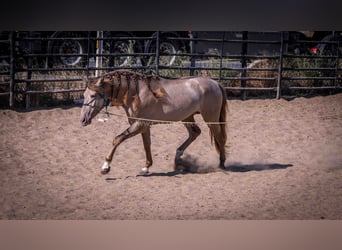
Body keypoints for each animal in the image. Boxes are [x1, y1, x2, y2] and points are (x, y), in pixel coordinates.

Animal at [79, 69, 227, 175]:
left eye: (93, 96)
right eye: (84, 95)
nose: (83, 120)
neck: (136, 93)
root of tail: (215, 83)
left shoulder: (139, 124)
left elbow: (117, 139)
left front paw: (105, 167)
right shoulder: (143, 126)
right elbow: (147, 145)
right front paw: (146, 167)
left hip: (210, 118)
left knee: (219, 137)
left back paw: (221, 164)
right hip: (187, 117)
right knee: (195, 133)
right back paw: (178, 157)